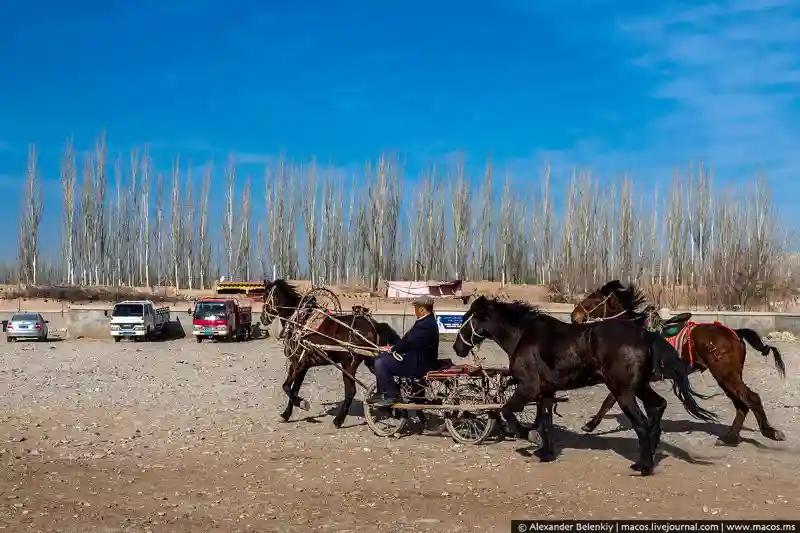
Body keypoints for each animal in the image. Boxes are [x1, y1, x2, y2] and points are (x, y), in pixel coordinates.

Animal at [260, 280, 400, 426]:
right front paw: (286, 414)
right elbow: (293, 389)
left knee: (351, 391)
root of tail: (375, 325)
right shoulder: (300, 365)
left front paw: (302, 403)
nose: (262, 318)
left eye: (264, 297)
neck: (300, 321)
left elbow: (287, 387)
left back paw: (338, 420)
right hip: (371, 361)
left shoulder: (299, 363)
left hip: (349, 365)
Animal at [450, 298, 720, 476]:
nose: (457, 348)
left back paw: (644, 466)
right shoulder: (546, 392)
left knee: (642, 422)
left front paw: (529, 437)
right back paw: (648, 458)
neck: (523, 336)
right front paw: (545, 453)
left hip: (623, 392)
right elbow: (544, 421)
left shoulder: (529, 388)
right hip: (639, 387)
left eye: (464, 321)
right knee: (657, 407)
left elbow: (508, 411)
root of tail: (645, 335)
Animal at [568, 278, 788, 444]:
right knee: (741, 404)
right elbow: (611, 401)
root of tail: (734, 332)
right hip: (727, 377)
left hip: (726, 375)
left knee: (751, 399)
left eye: (591, 300)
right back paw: (731, 437)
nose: (573, 316)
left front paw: (590, 425)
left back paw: (770, 432)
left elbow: (608, 401)